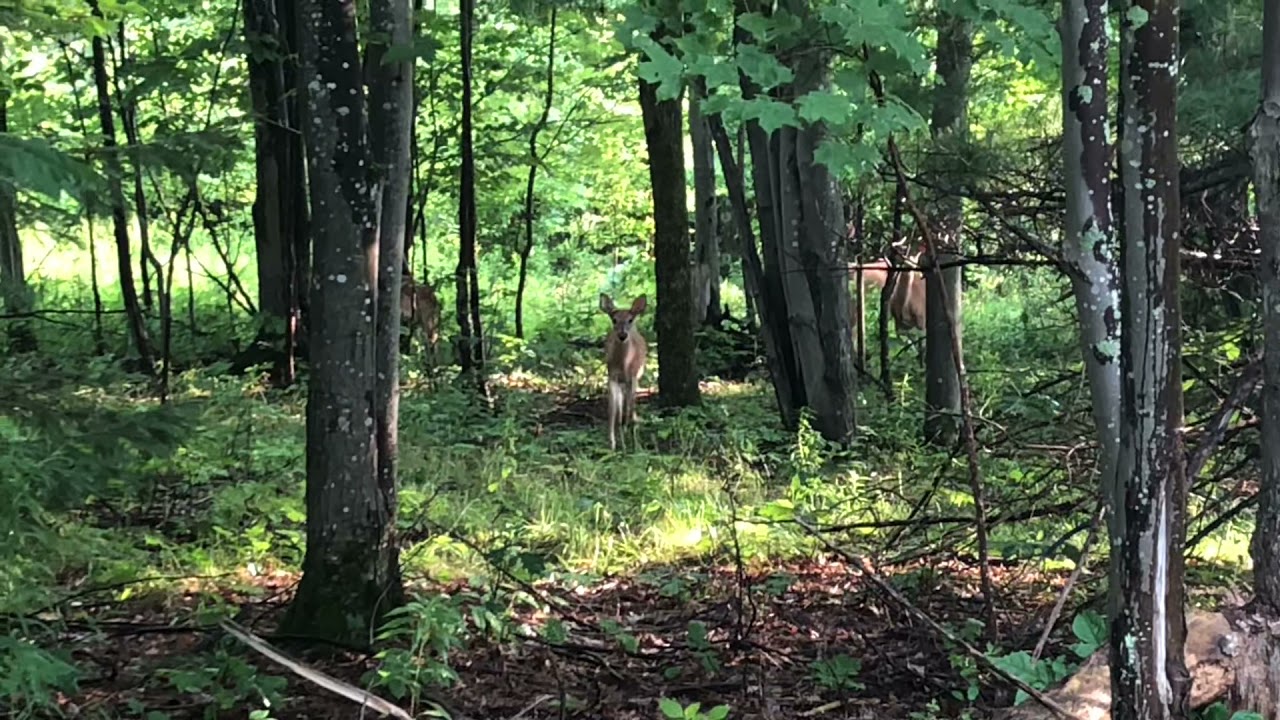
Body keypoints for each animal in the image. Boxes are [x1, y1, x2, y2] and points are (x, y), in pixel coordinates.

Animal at [599, 293, 647, 451]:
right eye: (614, 320)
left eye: (630, 320)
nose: (622, 335)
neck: (624, 364)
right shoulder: (612, 377)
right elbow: (613, 412)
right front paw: (613, 444)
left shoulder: (632, 377)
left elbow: (629, 410)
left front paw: (635, 445)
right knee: (619, 409)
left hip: (634, 379)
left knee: (629, 406)